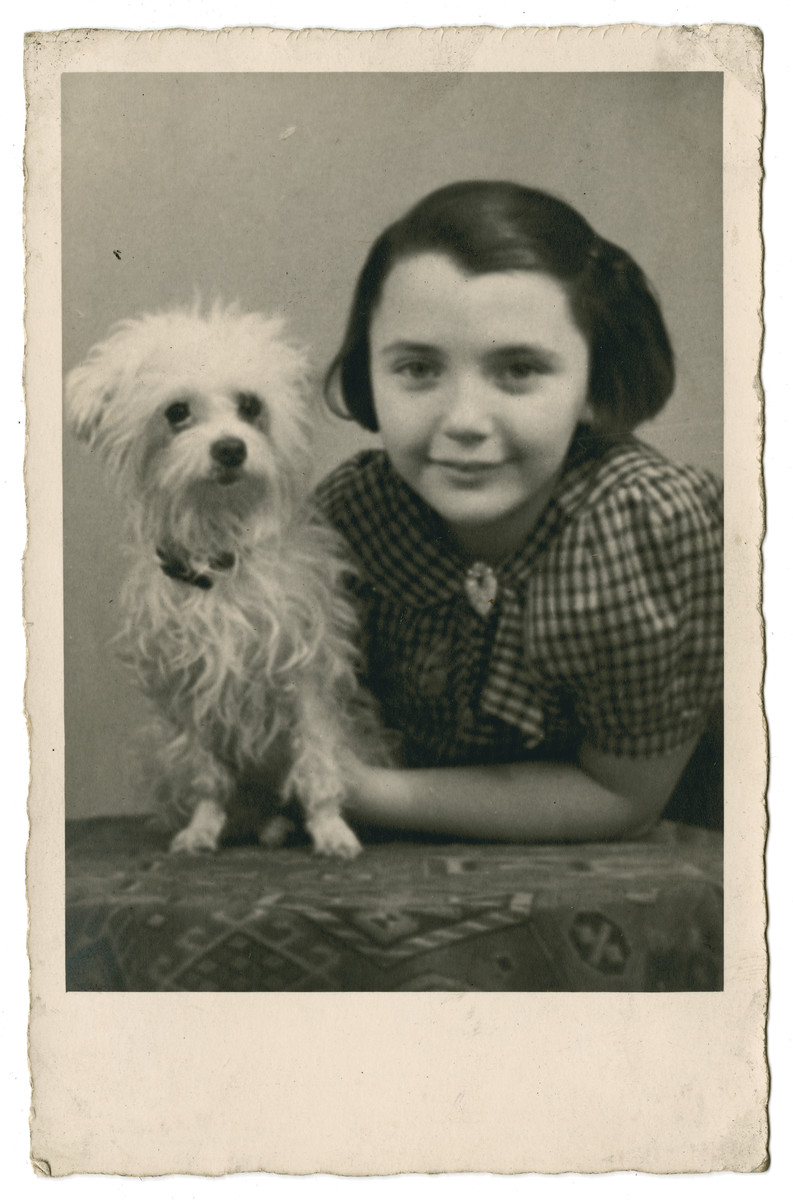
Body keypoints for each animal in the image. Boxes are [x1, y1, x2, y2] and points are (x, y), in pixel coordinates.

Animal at [66, 304, 379, 859]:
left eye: (250, 405)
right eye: (176, 412)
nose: (231, 449)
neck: (218, 553)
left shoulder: (307, 673)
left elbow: (317, 761)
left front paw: (331, 829)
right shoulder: (185, 691)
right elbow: (206, 776)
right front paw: (203, 828)